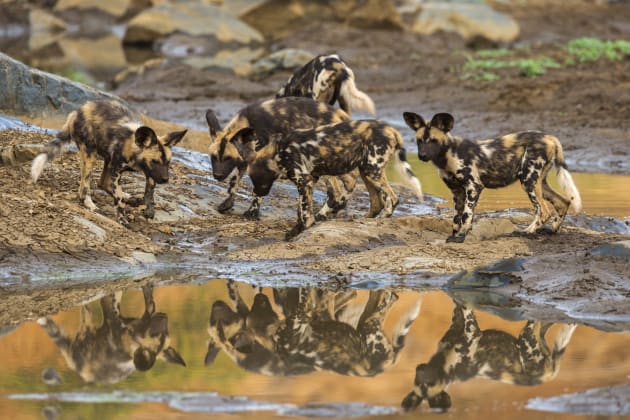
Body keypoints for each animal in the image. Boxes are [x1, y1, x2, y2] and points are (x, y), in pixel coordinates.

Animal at [31, 100, 188, 226]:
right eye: (155, 161)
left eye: (167, 162)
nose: (165, 179)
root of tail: (76, 112)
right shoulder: (117, 170)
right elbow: (119, 198)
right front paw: (122, 218)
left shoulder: (150, 172)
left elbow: (149, 192)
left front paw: (149, 209)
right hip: (91, 155)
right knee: (84, 187)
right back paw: (90, 204)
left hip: (106, 159)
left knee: (102, 183)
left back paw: (130, 198)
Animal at [207, 95, 356, 220]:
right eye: (213, 157)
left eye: (228, 158)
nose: (218, 176)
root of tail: (341, 115)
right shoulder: (244, 159)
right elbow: (234, 182)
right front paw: (227, 203)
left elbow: (257, 192)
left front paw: (252, 212)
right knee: (348, 183)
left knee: (336, 191)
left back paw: (323, 213)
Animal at [233, 118, 424, 240]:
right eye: (253, 179)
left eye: (259, 179)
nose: (259, 191)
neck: (278, 151)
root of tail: (390, 128)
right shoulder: (310, 180)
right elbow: (301, 210)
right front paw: (296, 230)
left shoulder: (304, 180)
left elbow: (305, 213)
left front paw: (301, 230)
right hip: (367, 169)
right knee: (376, 201)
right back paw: (365, 219)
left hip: (371, 169)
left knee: (392, 198)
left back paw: (381, 219)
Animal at [404, 111, 584, 243]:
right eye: (419, 141)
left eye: (433, 141)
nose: (422, 155)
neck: (447, 156)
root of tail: (550, 137)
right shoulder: (458, 192)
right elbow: (456, 218)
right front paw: (454, 236)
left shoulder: (474, 187)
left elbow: (466, 215)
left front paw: (461, 237)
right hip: (539, 182)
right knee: (563, 202)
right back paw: (552, 230)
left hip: (528, 181)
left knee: (544, 211)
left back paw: (527, 232)